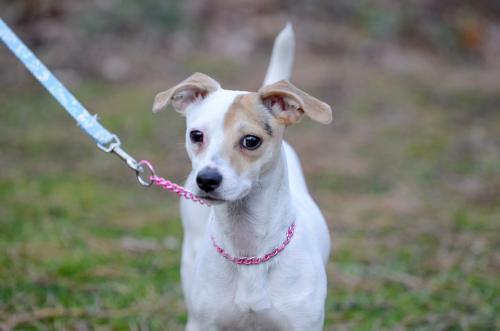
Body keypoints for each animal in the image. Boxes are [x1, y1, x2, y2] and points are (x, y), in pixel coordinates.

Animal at [152, 24, 332, 330]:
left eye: (251, 140)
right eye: (196, 135)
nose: (206, 179)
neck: (248, 252)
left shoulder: (302, 323)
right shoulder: (202, 323)